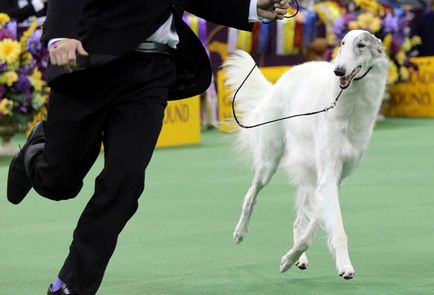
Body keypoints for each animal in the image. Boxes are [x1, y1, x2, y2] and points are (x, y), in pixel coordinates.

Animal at [225, 30, 388, 280]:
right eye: (342, 44)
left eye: (361, 45)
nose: (339, 71)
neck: (348, 105)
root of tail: (280, 82)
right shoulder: (328, 177)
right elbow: (336, 229)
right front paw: (345, 265)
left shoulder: (335, 179)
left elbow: (311, 230)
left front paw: (289, 259)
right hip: (269, 163)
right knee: (251, 195)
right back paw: (240, 232)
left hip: (308, 174)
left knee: (299, 220)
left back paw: (298, 258)